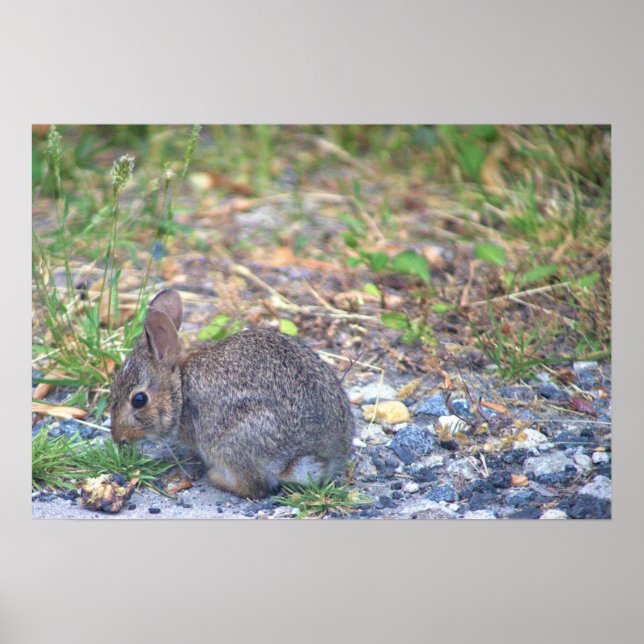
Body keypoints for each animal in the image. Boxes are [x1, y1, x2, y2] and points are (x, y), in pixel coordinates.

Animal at [110, 288, 355, 498]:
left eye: (139, 400)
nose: (118, 438)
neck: (179, 390)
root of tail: (311, 458)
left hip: (231, 442)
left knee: (254, 487)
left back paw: (215, 477)